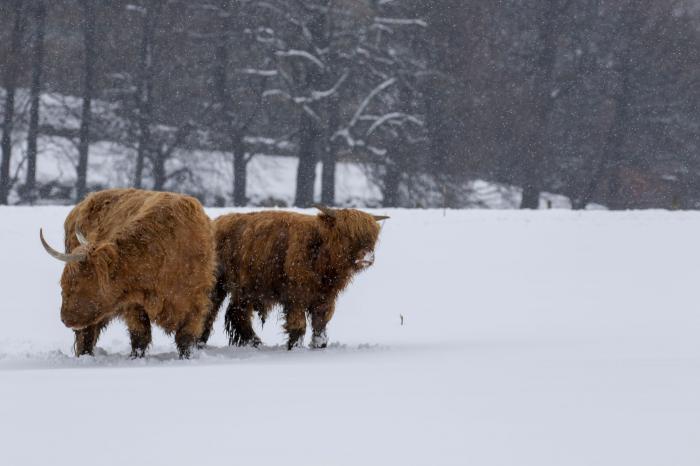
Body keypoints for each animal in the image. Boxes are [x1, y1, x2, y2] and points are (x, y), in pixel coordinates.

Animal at [40, 187, 216, 358]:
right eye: (62, 284)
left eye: (75, 284)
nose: (64, 318)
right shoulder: (134, 303)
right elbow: (140, 336)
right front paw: (135, 358)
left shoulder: (196, 304)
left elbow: (185, 338)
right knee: (86, 334)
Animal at [200, 204, 388, 350]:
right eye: (346, 233)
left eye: (372, 237)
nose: (367, 256)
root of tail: (216, 222)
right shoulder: (295, 296)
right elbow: (298, 324)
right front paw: (295, 347)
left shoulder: (325, 297)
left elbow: (321, 323)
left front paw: (319, 345)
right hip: (218, 284)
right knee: (210, 310)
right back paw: (202, 341)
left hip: (245, 289)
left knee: (237, 313)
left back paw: (255, 343)